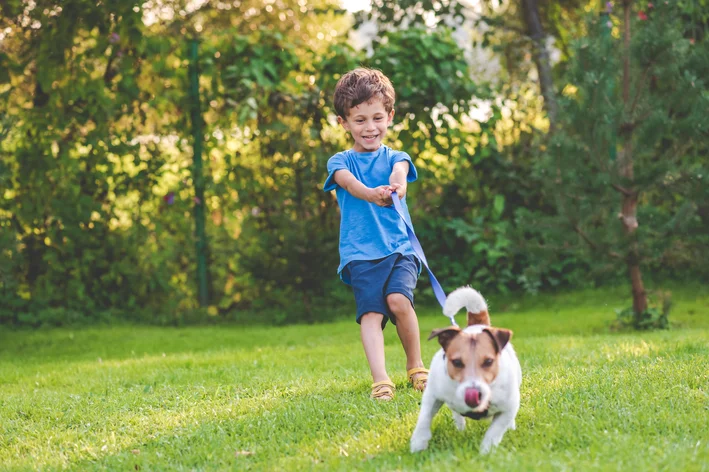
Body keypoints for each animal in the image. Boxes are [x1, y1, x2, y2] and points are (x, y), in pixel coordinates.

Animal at [410, 286, 520, 456]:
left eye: (488, 361)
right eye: (457, 362)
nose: (473, 393)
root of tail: (477, 325)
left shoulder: (509, 406)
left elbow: (495, 430)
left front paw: (486, 451)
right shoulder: (432, 394)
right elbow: (424, 417)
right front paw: (418, 444)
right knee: (455, 412)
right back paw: (460, 426)